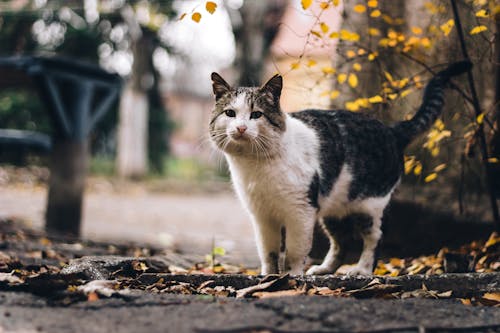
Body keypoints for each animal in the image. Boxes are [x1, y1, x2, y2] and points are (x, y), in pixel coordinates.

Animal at [209, 61, 470, 274]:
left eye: (256, 115)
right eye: (230, 113)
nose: (241, 128)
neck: (257, 166)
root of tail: (392, 130)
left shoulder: (300, 211)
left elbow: (294, 250)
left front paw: (291, 277)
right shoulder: (262, 216)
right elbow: (269, 252)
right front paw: (269, 277)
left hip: (370, 207)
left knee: (374, 238)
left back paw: (362, 270)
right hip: (333, 210)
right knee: (340, 243)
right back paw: (324, 269)